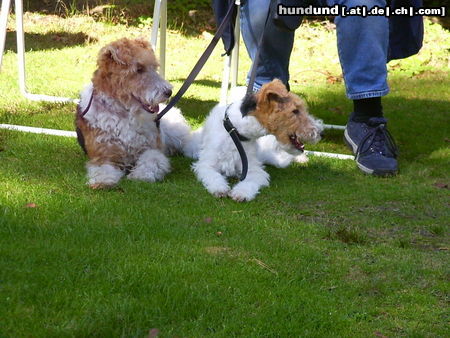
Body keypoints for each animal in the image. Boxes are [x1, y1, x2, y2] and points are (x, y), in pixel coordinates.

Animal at [75, 39, 193, 190]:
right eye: (139, 69)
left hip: (175, 133)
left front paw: (140, 175)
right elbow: (102, 169)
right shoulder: (103, 154)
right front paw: (102, 182)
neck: (125, 113)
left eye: (154, 67)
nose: (168, 92)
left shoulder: (151, 149)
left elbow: (152, 160)